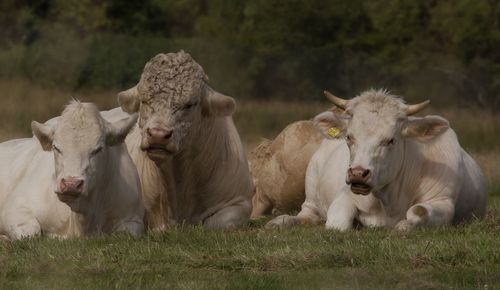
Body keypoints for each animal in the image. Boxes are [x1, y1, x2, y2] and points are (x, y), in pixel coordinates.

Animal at [0, 100, 144, 240]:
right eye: (56, 147)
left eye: (98, 149)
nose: (71, 184)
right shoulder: (14, 208)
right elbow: (31, 233)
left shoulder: (134, 219)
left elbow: (125, 233)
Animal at [268, 89, 486, 230]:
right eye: (349, 137)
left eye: (390, 140)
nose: (358, 173)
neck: (389, 199)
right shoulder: (345, 195)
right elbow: (337, 224)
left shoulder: (443, 202)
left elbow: (416, 213)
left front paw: (403, 225)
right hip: (312, 189)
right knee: (306, 215)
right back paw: (280, 221)